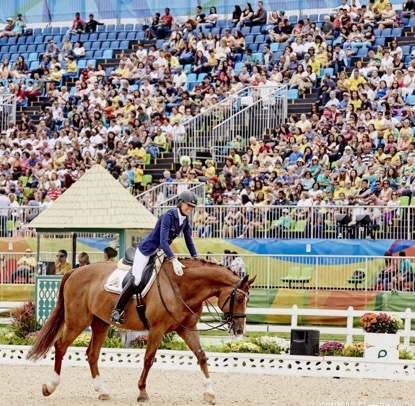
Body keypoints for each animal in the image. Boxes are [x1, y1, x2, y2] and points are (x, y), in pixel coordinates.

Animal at [27, 257, 256, 404]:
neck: (181, 286)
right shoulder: (157, 329)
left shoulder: (187, 329)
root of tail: (74, 271)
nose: (239, 330)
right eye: (239, 298)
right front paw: (142, 393)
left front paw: (209, 392)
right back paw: (50, 386)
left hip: (99, 323)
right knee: (60, 346)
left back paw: (102, 391)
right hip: (77, 321)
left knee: (92, 354)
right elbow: (148, 359)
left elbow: (201, 356)